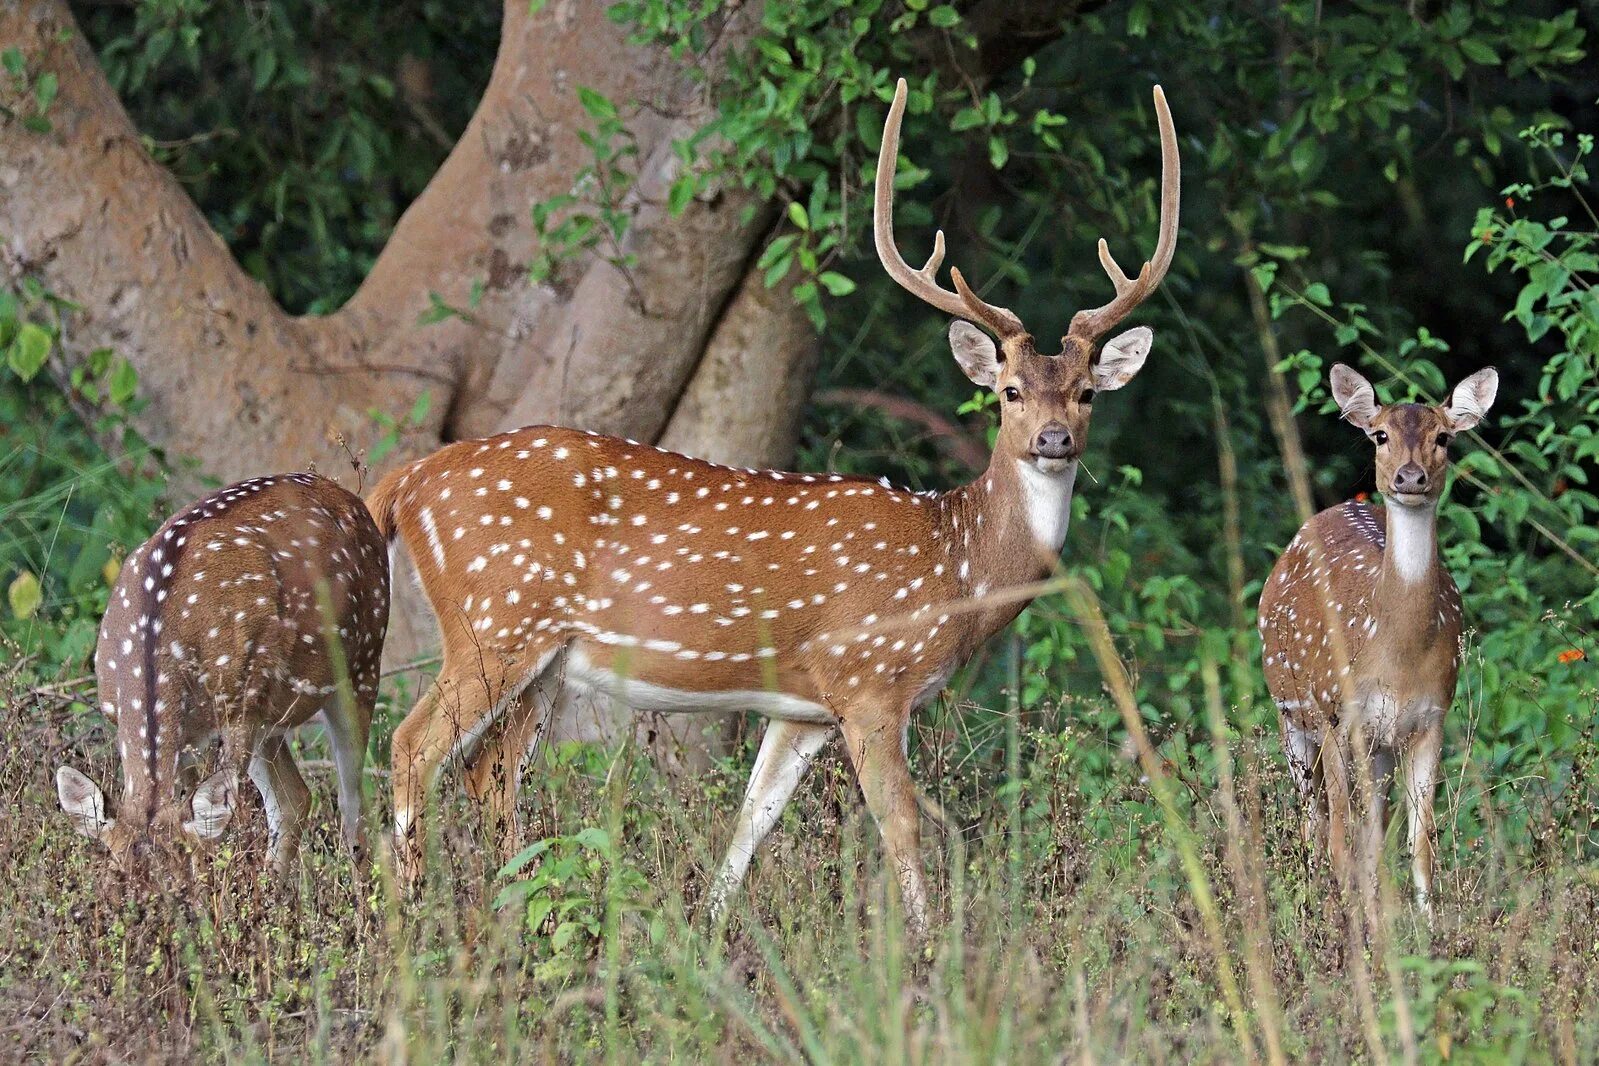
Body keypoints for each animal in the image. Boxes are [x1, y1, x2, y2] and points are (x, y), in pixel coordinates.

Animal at [59, 479, 393, 882]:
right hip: (267, 713)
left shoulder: (238, 707)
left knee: (353, 806)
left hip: (361, 661)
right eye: (115, 877)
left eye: (181, 878)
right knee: (295, 799)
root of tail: (350, 496)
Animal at [367, 75, 1183, 926]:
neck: (953, 563)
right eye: (1009, 391)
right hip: (494, 620)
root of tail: (407, 482)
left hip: (543, 657)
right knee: (411, 746)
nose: (1054, 439)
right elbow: (901, 827)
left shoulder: (802, 709)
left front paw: (708, 936)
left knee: (489, 771)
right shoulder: (869, 679)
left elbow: (749, 824)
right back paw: (405, 923)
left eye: (1087, 392)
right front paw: (929, 948)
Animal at [1260, 364, 1496, 920]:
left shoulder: (1431, 719)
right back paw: (1319, 904)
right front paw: (1360, 926)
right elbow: (1348, 834)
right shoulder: (1340, 713)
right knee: (1318, 822)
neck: (1397, 659)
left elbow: (1419, 842)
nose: (1410, 477)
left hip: (1380, 744)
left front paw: (1425, 928)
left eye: (1444, 437)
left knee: (1362, 828)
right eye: (1380, 435)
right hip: (1296, 714)